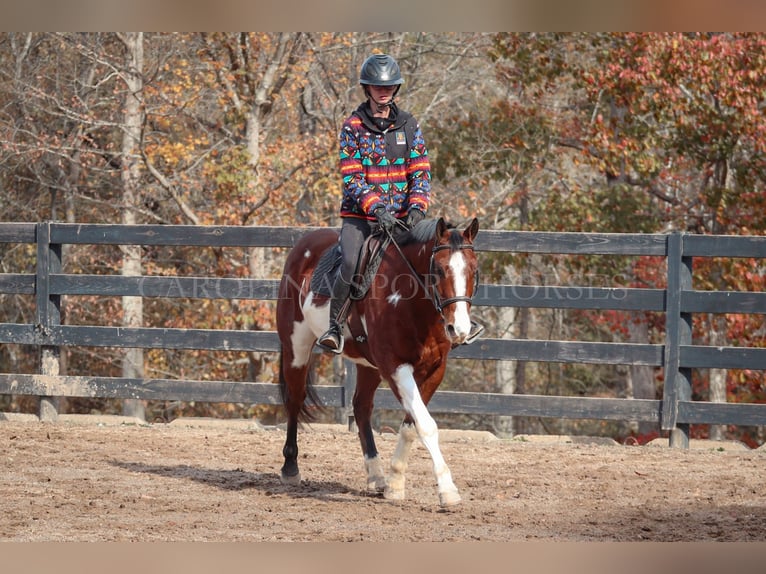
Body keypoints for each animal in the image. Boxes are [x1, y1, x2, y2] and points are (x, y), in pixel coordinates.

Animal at [274, 217, 480, 508]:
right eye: (439, 270)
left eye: (474, 270)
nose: (458, 329)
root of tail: (303, 246)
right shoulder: (395, 366)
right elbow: (426, 425)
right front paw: (447, 489)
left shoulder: (434, 369)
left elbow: (411, 425)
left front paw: (394, 484)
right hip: (297, 346)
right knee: (295, 398)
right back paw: (290, 467)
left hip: (367, 365)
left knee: (361, 407)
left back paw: (376, 475)